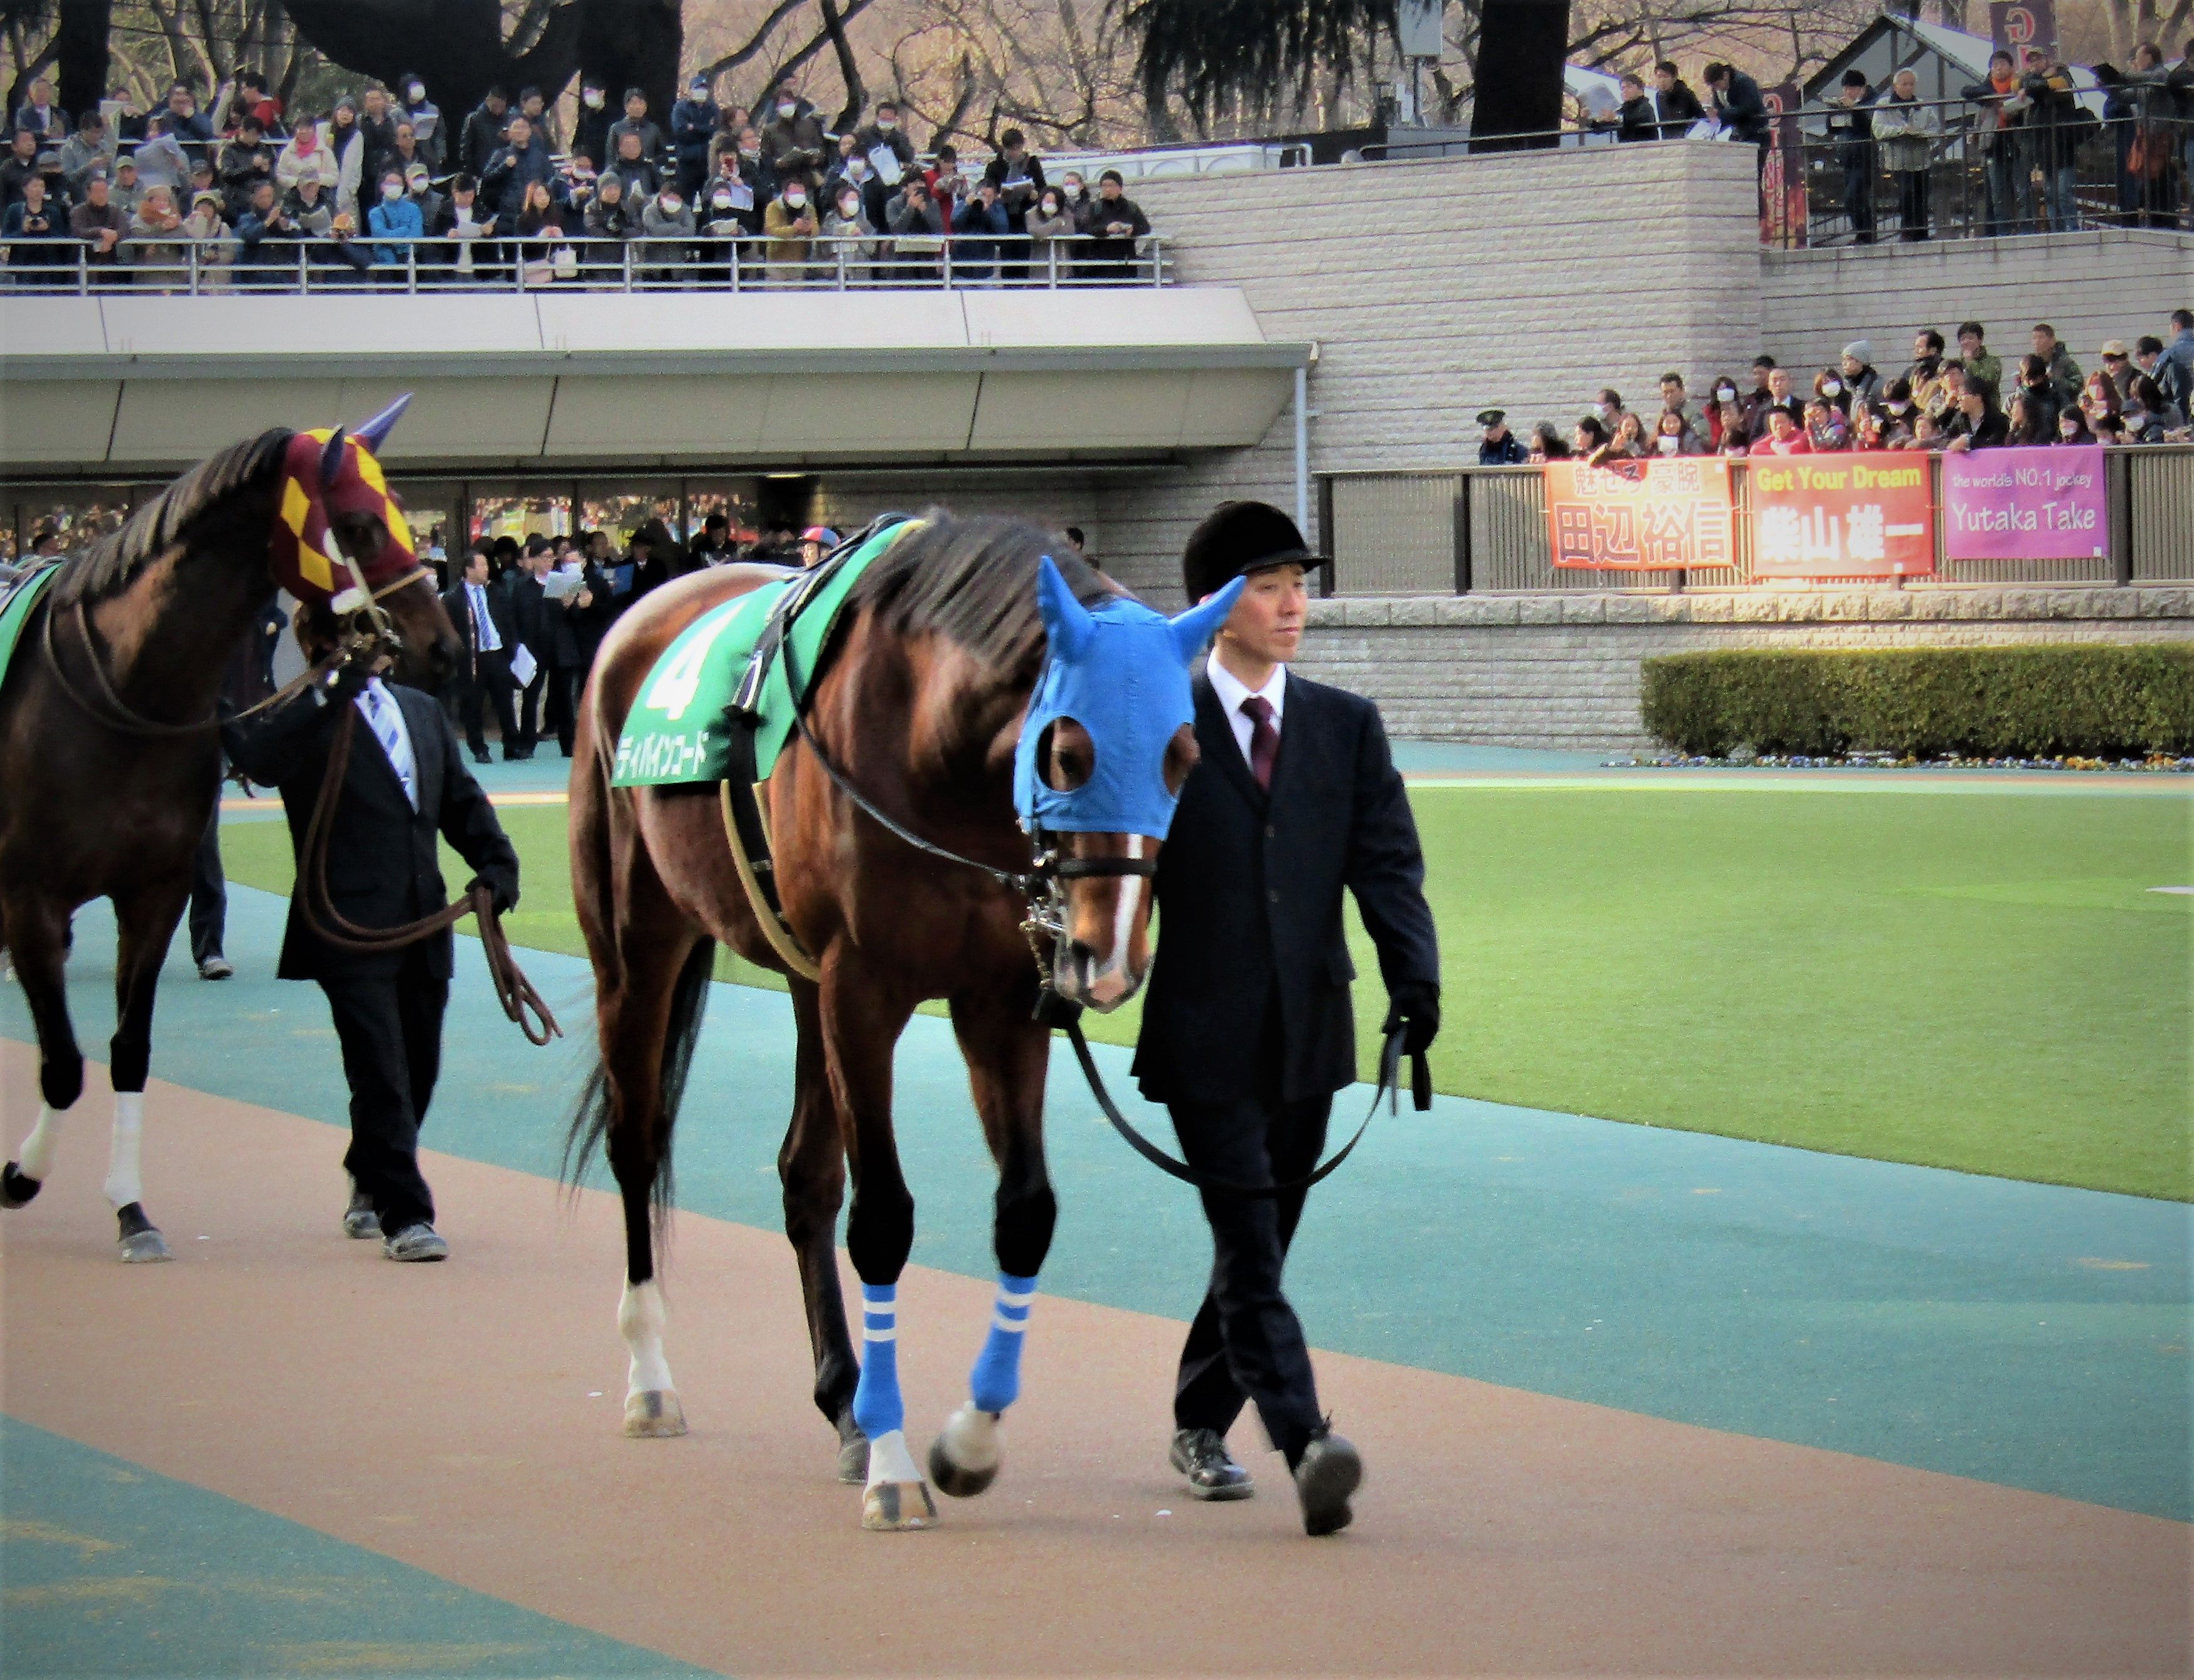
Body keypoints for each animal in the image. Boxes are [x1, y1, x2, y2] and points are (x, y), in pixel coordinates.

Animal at [0, 408, 456, 1263]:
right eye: (358, 524)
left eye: (403, 510)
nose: (443, 645)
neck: (122, 692)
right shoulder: (29, 898)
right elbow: (64, 1065)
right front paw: (21, 1175)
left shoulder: (153, 892)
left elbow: (128, 1051)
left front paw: (132, 1213)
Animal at [565, 520, 1246, 1535]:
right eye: (1066, 751)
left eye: (1184, 754)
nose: (1110, 956)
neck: (936, 754)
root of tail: (640, 615)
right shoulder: (864, 990)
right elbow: (883, 1219)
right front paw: (895, 1467)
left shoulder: (998, 998)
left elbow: (1026, 1213)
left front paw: (968, 1441)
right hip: (638, 945)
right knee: (636, 1143)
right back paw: (653, 1378)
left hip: (801, 980)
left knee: (803, 1176)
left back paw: (843, 1405)